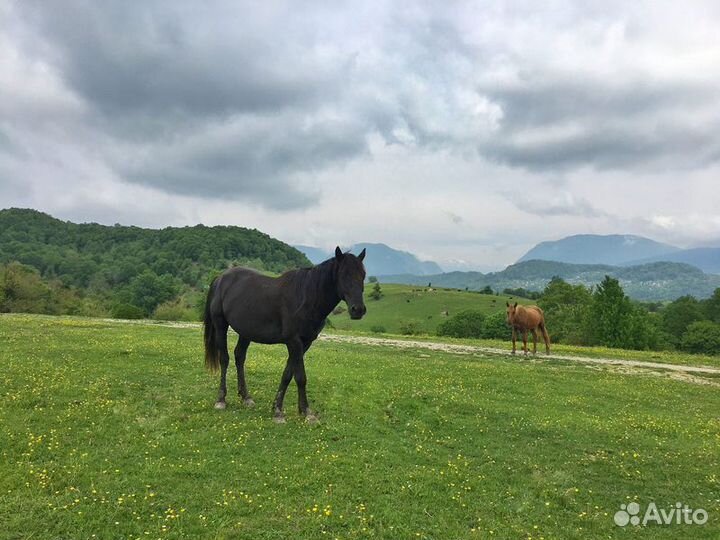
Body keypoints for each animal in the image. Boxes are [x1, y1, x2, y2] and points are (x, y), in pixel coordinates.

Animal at [205, 246, 368, 422]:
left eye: (363, 275)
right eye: (343, 275)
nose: (358, 309)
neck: (306, 298)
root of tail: (221, 278)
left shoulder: (304, 343)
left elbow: (288, 374)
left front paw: (279, 408)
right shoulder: (294, 341)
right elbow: (301, 377)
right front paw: (306, 412)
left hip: (245, 332)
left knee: (239, 357)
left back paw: (246, 397)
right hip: (221, 325)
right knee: (224, 359)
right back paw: (221, 399)